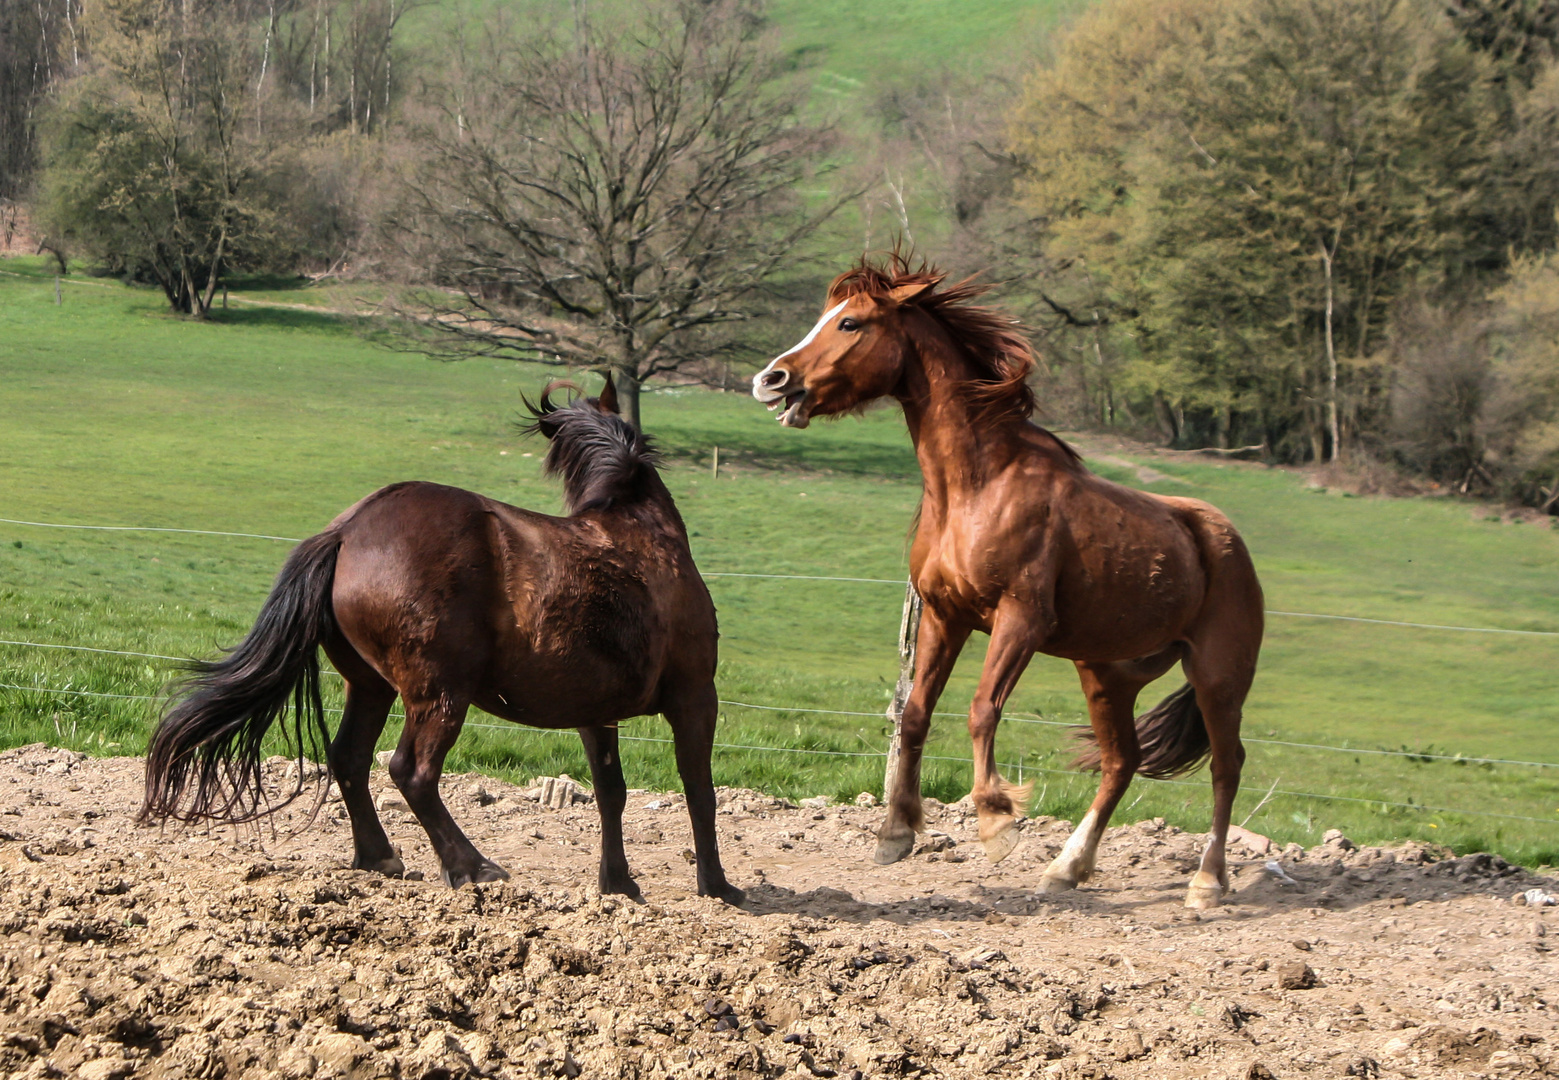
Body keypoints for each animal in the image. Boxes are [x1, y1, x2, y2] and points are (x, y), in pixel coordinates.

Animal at [141, 378, 742, 903]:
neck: (641, 533)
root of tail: (345, 532)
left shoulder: (596, 711)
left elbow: (611, 793)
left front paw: (618, 884)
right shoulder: (695, 697)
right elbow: (699, 789)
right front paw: (717, 886)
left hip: (371, 686)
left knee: (349, 759)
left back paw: (379, 857)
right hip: (440, 693)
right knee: (412, 772)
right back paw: (472, 866)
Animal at [754, 257, 1265, 903]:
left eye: (850, 322)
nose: (771, 380)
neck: (978, 486)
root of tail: (1226, 539)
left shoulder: (1020, 620)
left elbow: (981, 710)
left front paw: (997, 825)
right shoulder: (945, 616)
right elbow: (915, 713)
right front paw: (896, 834)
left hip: (1218, 676)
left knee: (1227, 766)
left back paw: (1205, 883)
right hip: (1108, 675)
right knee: (1121, 761)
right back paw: (1066, 869)